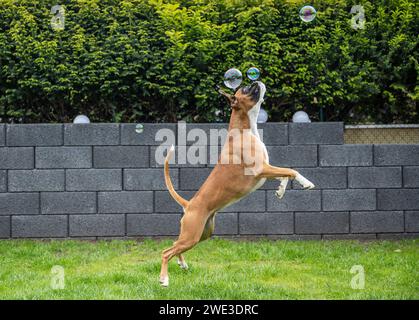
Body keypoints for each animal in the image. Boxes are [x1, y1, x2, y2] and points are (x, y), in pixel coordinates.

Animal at [161, 81, 316, 286]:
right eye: (245, 89)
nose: (257, 81)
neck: (244, 129)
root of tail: (189, 204)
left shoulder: (265, 171)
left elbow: (284, 175)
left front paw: (280, 191)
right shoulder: (261, 169)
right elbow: (291, 170)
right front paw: (306, 183)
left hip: (200, 235)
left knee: (175, 246)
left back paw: (182, 264)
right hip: (191, 235)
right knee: (166, 252)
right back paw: (164, 279)